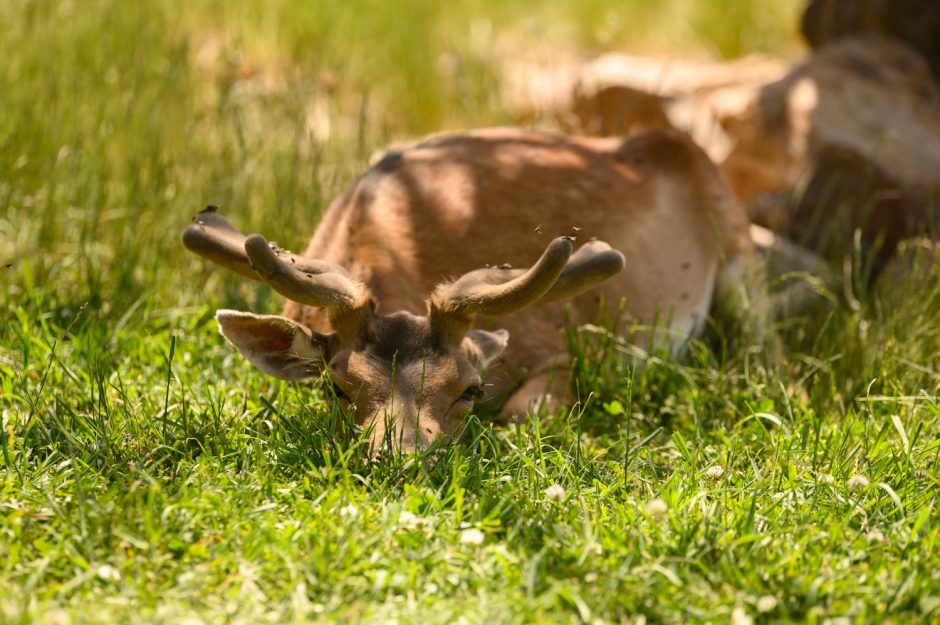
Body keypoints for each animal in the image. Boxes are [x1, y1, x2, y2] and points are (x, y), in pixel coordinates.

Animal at [184, 127, 764, 450]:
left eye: (470, 389)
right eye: (337, 388)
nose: (403, 455)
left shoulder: (561, 345)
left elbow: (526, 411)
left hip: (741, 257)